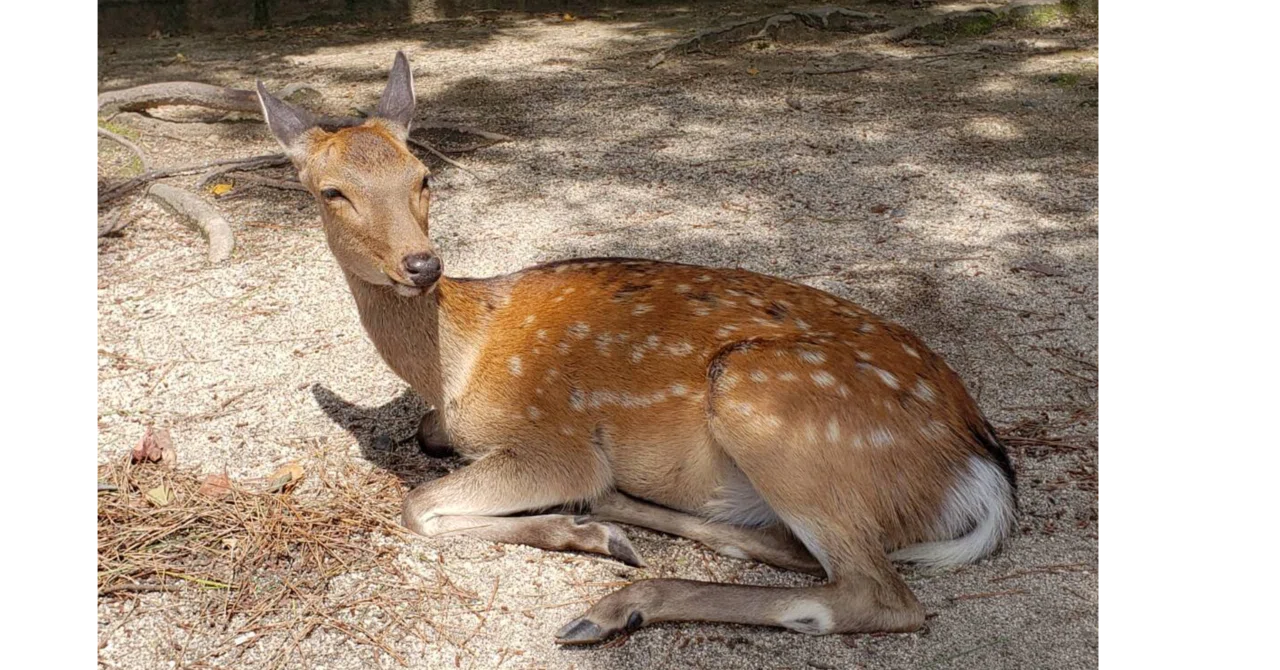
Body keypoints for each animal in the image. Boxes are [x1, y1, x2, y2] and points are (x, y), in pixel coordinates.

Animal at [255, 51, 1016, 645]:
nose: (421, 265)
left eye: (423, 176)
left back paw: (613, 604)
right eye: (331, 191)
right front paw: (587, 528)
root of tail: (983, 470)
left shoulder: (552, 442)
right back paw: (614, 522)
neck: (459, 362)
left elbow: (416, 507)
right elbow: (427, 448)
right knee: (789, 549)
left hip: (761, 394)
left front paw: (579, 535)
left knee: (874, 595)